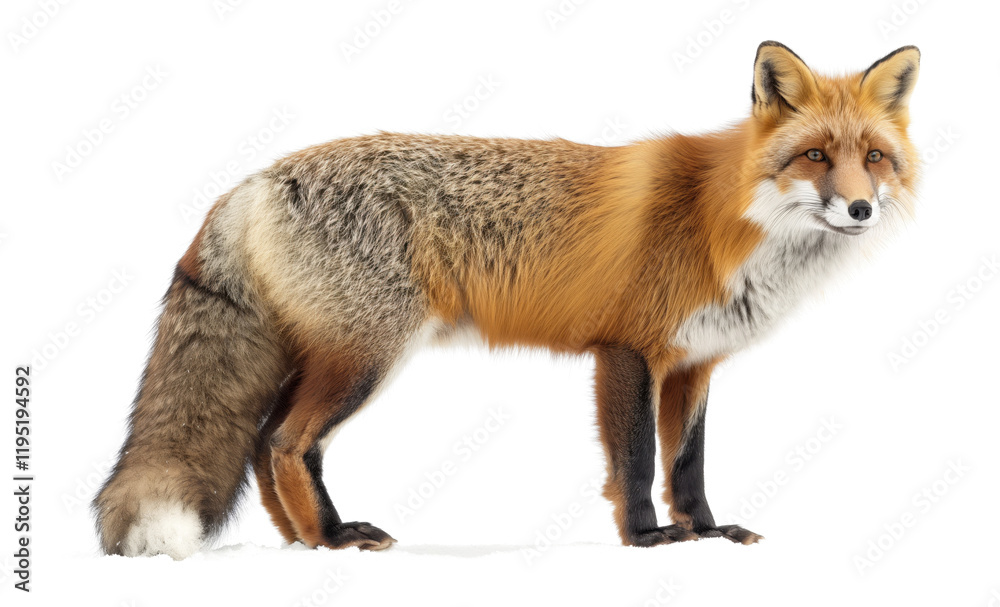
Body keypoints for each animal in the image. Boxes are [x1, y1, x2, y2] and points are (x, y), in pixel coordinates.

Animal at [94, 41, 920, 558]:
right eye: (815, 155)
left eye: (875, 158)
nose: (859, 209)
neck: (729, 221)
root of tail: (255, 179)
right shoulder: (627, 351)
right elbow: (636, 461)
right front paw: (649, 540)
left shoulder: (693, 363)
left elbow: (688, 464)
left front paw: (708, 533)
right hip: (367, 356)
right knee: (285, 442)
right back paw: (332, 538)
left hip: (329, 356)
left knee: (268, 441)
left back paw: (305, 540)